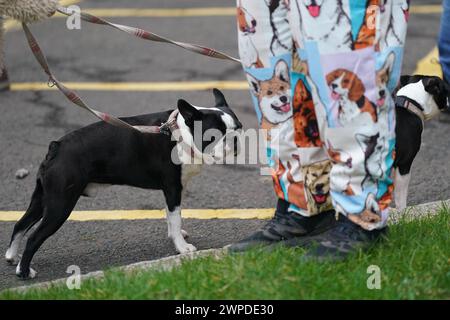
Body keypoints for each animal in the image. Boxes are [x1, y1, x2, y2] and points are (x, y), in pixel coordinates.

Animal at [4, 89, 243, 278]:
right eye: (214, 134)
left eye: (239, 127)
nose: (235, 139)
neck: (181, 134)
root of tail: (57, 146)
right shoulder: (173, 188)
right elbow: (175, 218)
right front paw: (182, 248)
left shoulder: (172, 191)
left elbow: (170, 216)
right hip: (60, 205)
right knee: (34, 237)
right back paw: (24, 272)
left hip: (44, 197)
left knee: (21, 224)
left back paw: (12, 256)